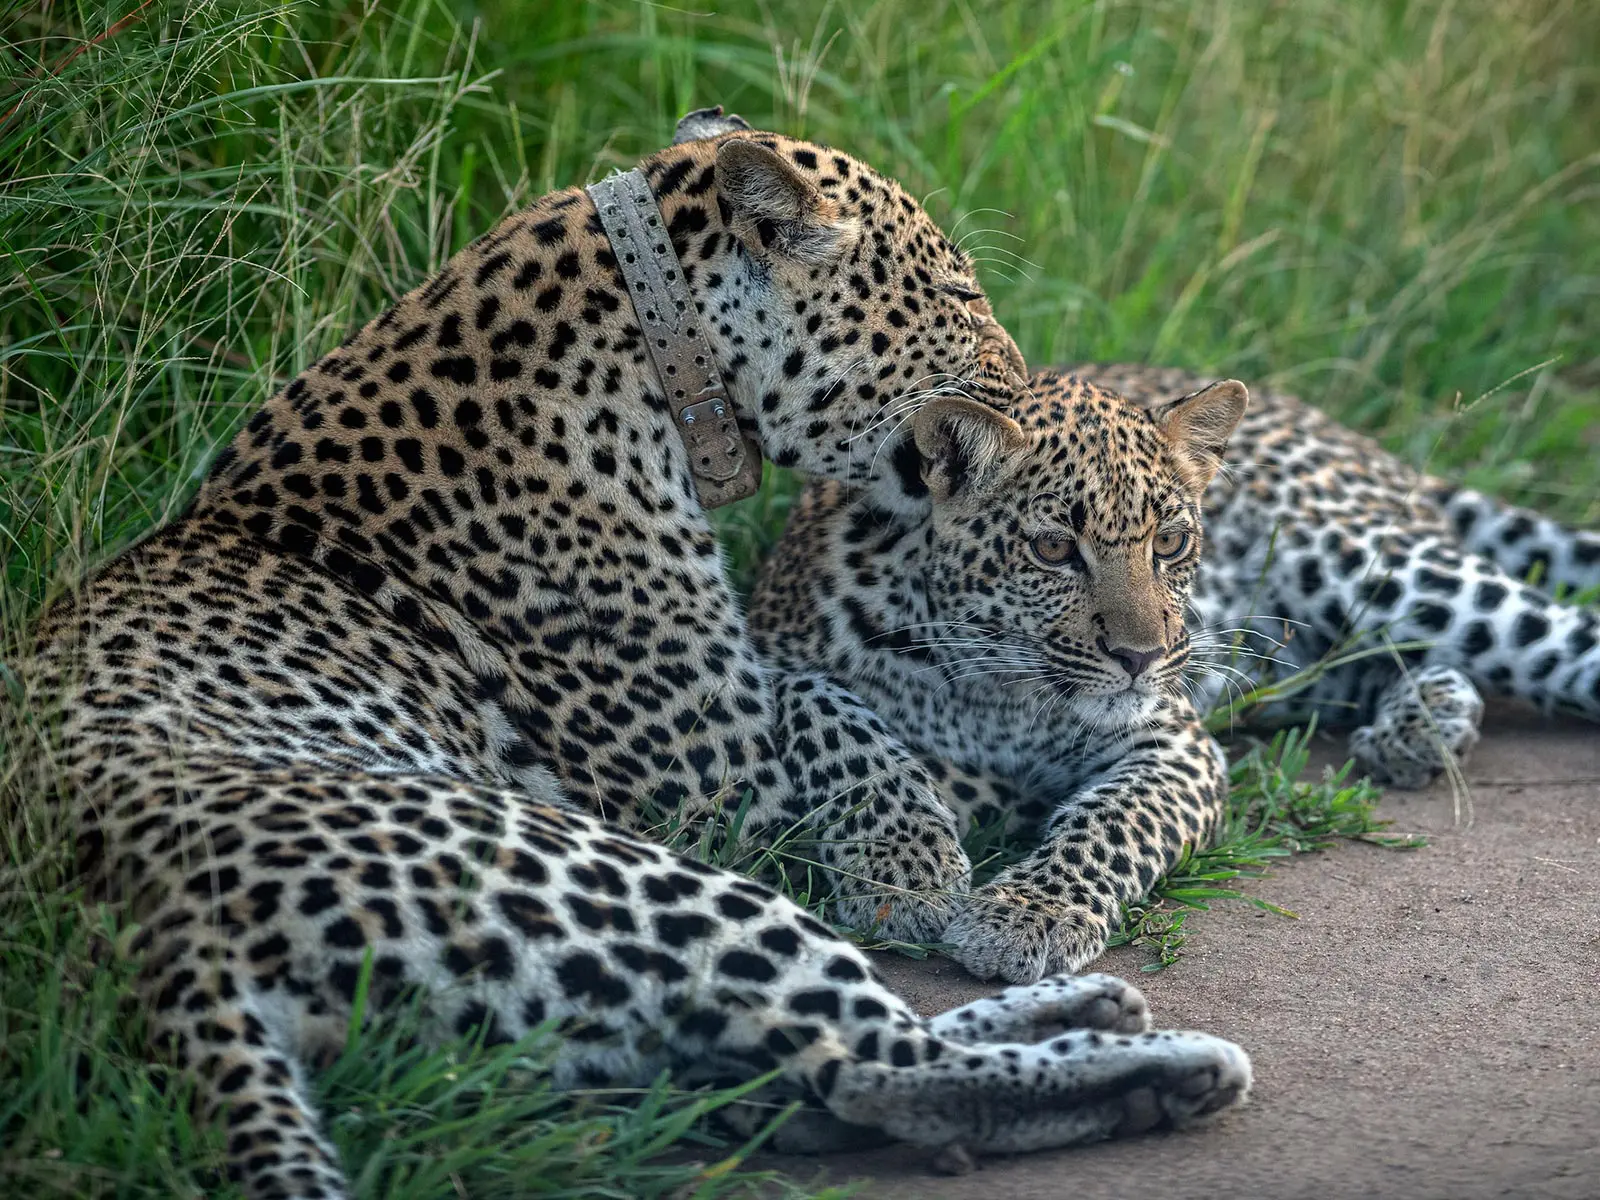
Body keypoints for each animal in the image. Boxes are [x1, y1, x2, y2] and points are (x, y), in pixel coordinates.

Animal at [751, 370, 1250, 986]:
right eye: (1054, 548)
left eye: (1169, 543)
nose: (1142, 657)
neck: (991, 692)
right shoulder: (759, 659)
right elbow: (835, 723)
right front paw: (903, 868)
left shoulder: (1176, 741)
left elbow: (1116, 818)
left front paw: (1032, 913)